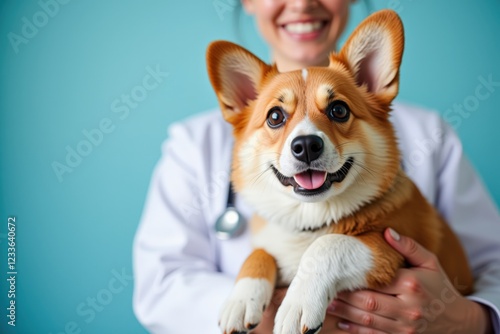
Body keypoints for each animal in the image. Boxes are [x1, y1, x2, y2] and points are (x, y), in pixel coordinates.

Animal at [206, 9, 472, 334]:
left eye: (339, 110)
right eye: (275, 116)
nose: (306, 146)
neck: (310, 219)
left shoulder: (390, 248)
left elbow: (328, 244)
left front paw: (298, 304)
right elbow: (258, 253)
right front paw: (242, 298)